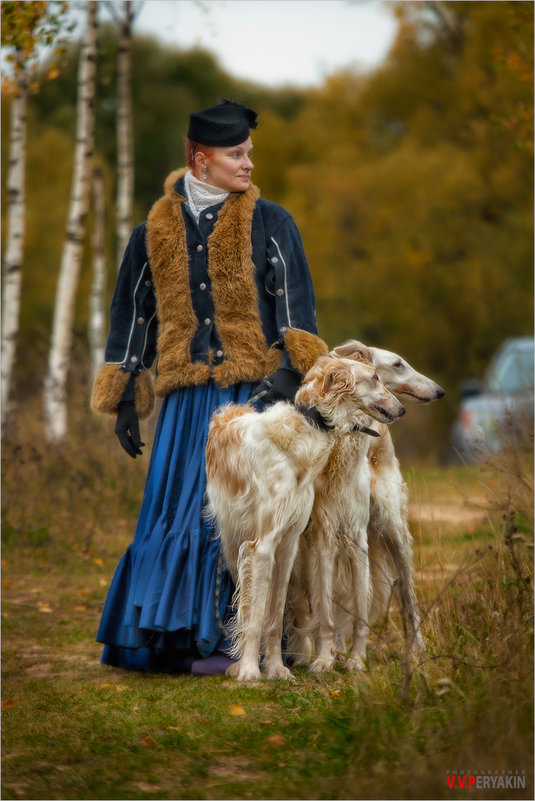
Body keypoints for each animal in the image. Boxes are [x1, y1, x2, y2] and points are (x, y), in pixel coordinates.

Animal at [206, 354, 406, 680]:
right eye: (375, 377)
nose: (401, 409)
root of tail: (229, 412)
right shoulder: (263, 545)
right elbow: (257, 615)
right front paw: (250, 671)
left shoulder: (288, 542)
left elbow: (274, 616)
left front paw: (276, 668)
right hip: (234, 545)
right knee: (246, 606)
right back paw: (239, 664)